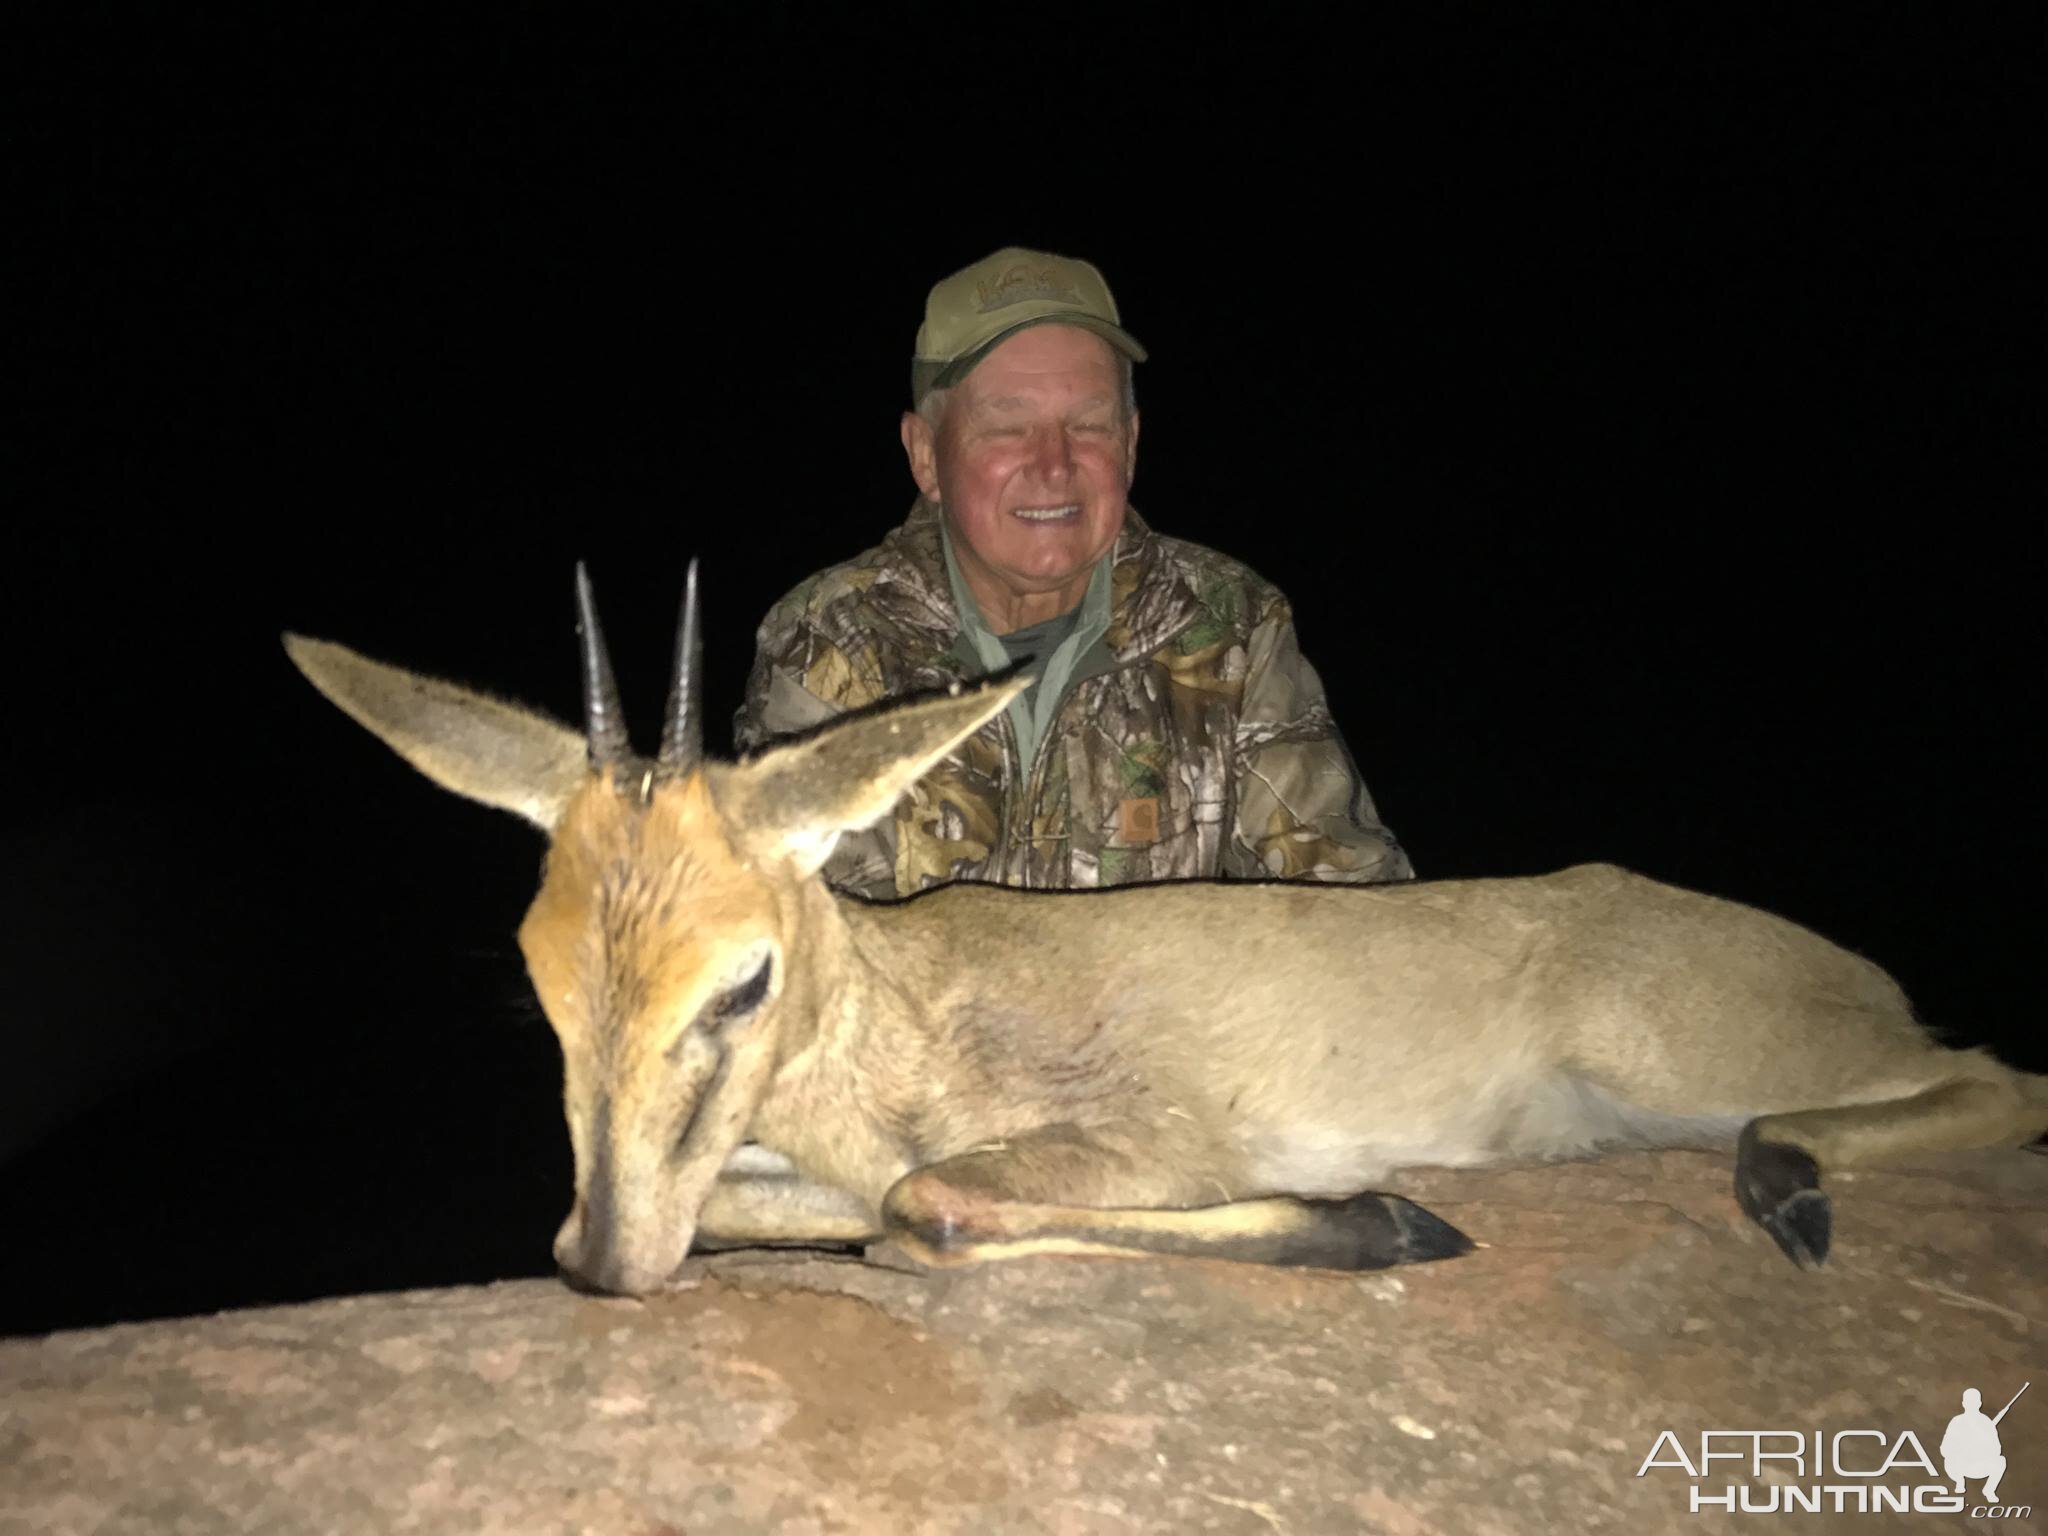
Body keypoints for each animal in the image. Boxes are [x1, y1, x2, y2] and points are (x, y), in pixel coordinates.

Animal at [284, 569, 2048, 1302]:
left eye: (745, 980)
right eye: (541, 984)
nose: (605, 1268)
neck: (907, 1020)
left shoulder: (1157, 1142)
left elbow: (924, 1213)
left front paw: (1389, 1222)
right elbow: (786, 1214)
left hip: (1695, 1059)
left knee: (1999, 1083)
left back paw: (1789, 1188)